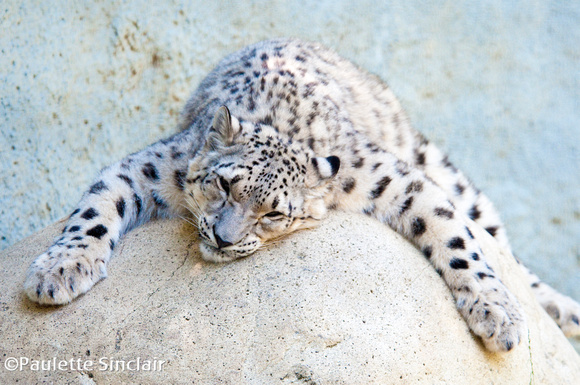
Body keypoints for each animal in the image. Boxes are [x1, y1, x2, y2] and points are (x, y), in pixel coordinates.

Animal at [23, 38, 580, 352]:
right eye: (224, 184)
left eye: (272, 214)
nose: (223, 240)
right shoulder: (154, 166)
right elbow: (97, 207)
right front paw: (59, 271)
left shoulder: (395, 178)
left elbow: (454, 235)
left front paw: (499, 314)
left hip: (448, 173)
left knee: (498, 243)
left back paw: (559, 308)